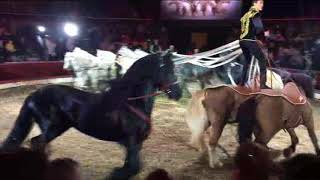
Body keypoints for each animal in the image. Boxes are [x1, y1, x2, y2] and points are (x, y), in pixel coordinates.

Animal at [185, 83, 320, 169]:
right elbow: (313, 139)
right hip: (221, 122)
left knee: (202, 138)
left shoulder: (287, 125)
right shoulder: (308, 122)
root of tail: (207, 92)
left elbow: (295, 138)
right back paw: (216, 163)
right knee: (213, 142)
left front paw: (288, 151)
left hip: (209, 122)